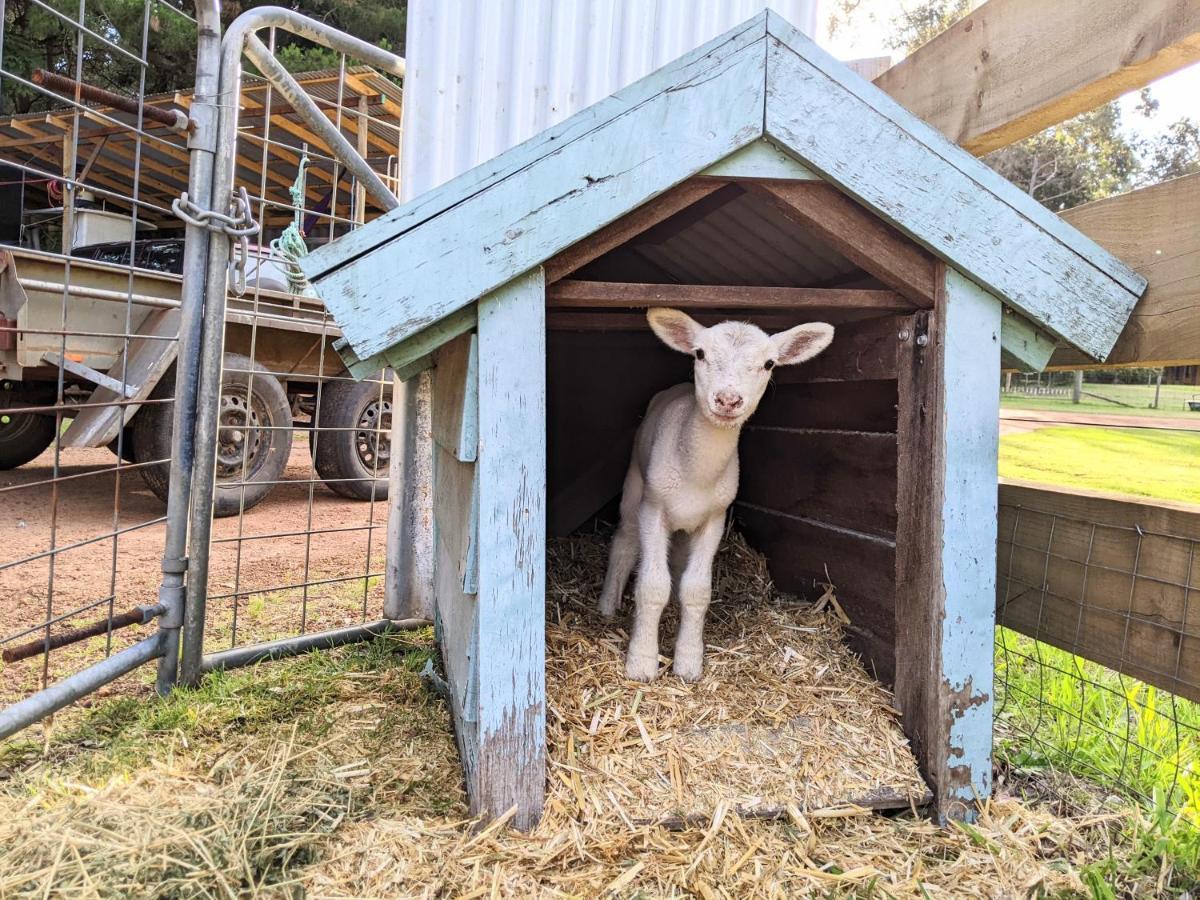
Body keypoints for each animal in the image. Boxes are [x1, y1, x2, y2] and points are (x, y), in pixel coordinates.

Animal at [600, 309, 835, 681]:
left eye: (769, 363)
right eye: (700, 354)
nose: (727, 400)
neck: (697, 472)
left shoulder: (714, 517)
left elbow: (697, 590)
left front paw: (688, 663)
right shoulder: (654, 510)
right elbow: (652, 585)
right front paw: (641, 663)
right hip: (635, 483)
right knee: (624, 541)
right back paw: (608, 605)